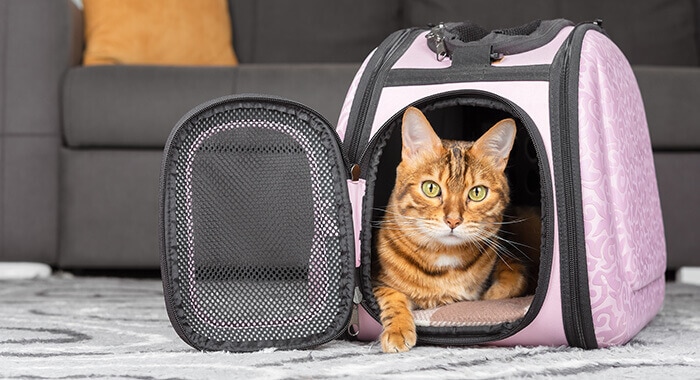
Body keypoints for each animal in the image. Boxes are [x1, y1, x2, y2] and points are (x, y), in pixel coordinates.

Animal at [374, 106, 540, 354]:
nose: (453, 220)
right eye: (430, 188)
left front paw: (491, 295)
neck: (445, 256)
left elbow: (513, 278)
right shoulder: (377, 281)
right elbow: (393, 296)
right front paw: (397, 330)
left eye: (477, 192)